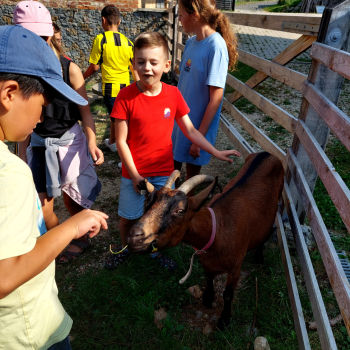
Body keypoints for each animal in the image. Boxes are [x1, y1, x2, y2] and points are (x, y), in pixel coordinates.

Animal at [129, 152, 284, 330]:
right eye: (147, 203)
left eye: (180, 211)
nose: (134, 236)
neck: (218, 231)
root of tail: (267, 153)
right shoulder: (206, 262)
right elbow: (209, 279)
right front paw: (208, 299)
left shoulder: (235, 269)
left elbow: (227, 295)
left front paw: (224, 321)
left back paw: (259, 257)